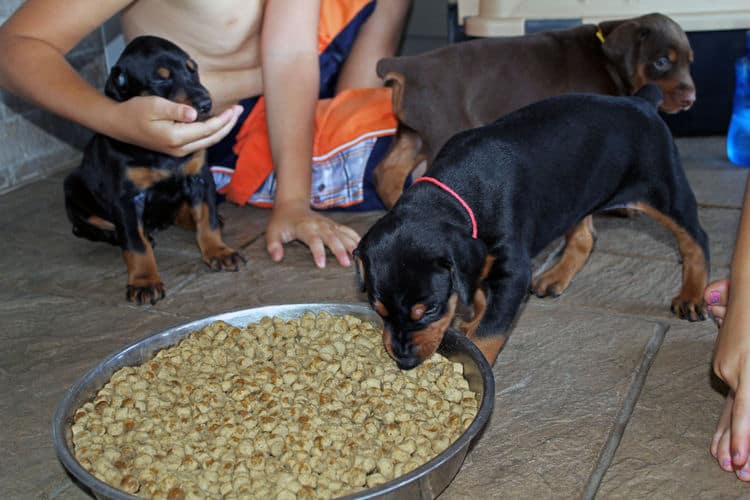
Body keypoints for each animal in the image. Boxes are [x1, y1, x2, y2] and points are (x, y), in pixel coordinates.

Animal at [63, 36, 244, 304]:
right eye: (161, 79)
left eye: (193, 70)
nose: (205, 103)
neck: (161, 154)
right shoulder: (126, 198)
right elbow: (135, 244)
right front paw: (144, 282)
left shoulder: (199, 177)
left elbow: (207, 218)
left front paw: (219, 251)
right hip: (73, 186)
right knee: (86, 227)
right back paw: (125, 234)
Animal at [356, 85, 712, 368]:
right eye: (378, 309)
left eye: (428, 309)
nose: (404, 361)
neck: (453, 191)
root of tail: (642, 101)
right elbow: (481, 297)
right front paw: (473, 319)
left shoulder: (514, 270)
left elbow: (492, 329)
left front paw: (479, 354)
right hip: (575, 195)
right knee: (585, 237)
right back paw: (554, 277)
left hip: (663, 188)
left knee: (696, 237)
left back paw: (692, 296)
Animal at [376, 13, 700, 208]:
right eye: (661, 62)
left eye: (690, 62)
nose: (691, 99)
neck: (606, 58)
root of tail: (407, 65)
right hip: (443, 130)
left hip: (413, 133)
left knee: (387, 172)